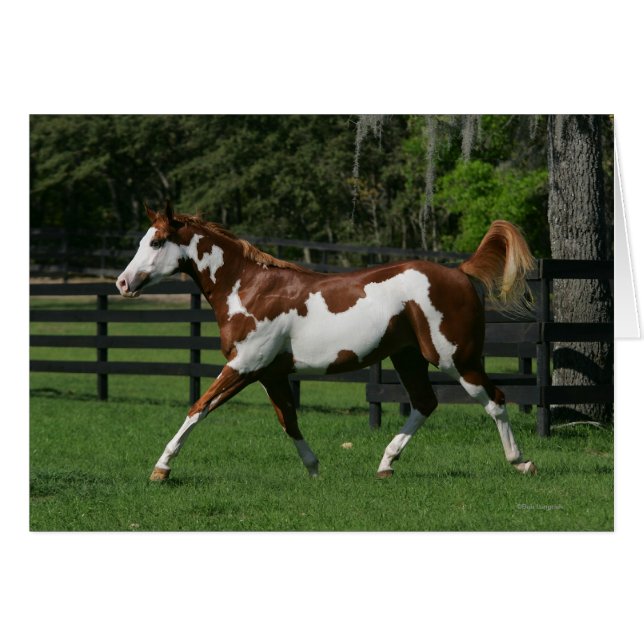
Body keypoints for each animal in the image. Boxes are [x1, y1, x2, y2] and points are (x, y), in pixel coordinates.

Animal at [116, 204, 537, 481]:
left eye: (156, 242)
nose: (122, 283)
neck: (249, 289)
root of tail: (460, 272)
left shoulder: (244, 366)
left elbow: (198, 408)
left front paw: (161, 468)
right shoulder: (270, 373)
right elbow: (289, 420)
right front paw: (315, 468)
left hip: (457, 358)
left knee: (495, 400)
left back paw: (521, 462)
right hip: (408, 358)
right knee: (424, 403)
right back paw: (386, 464)